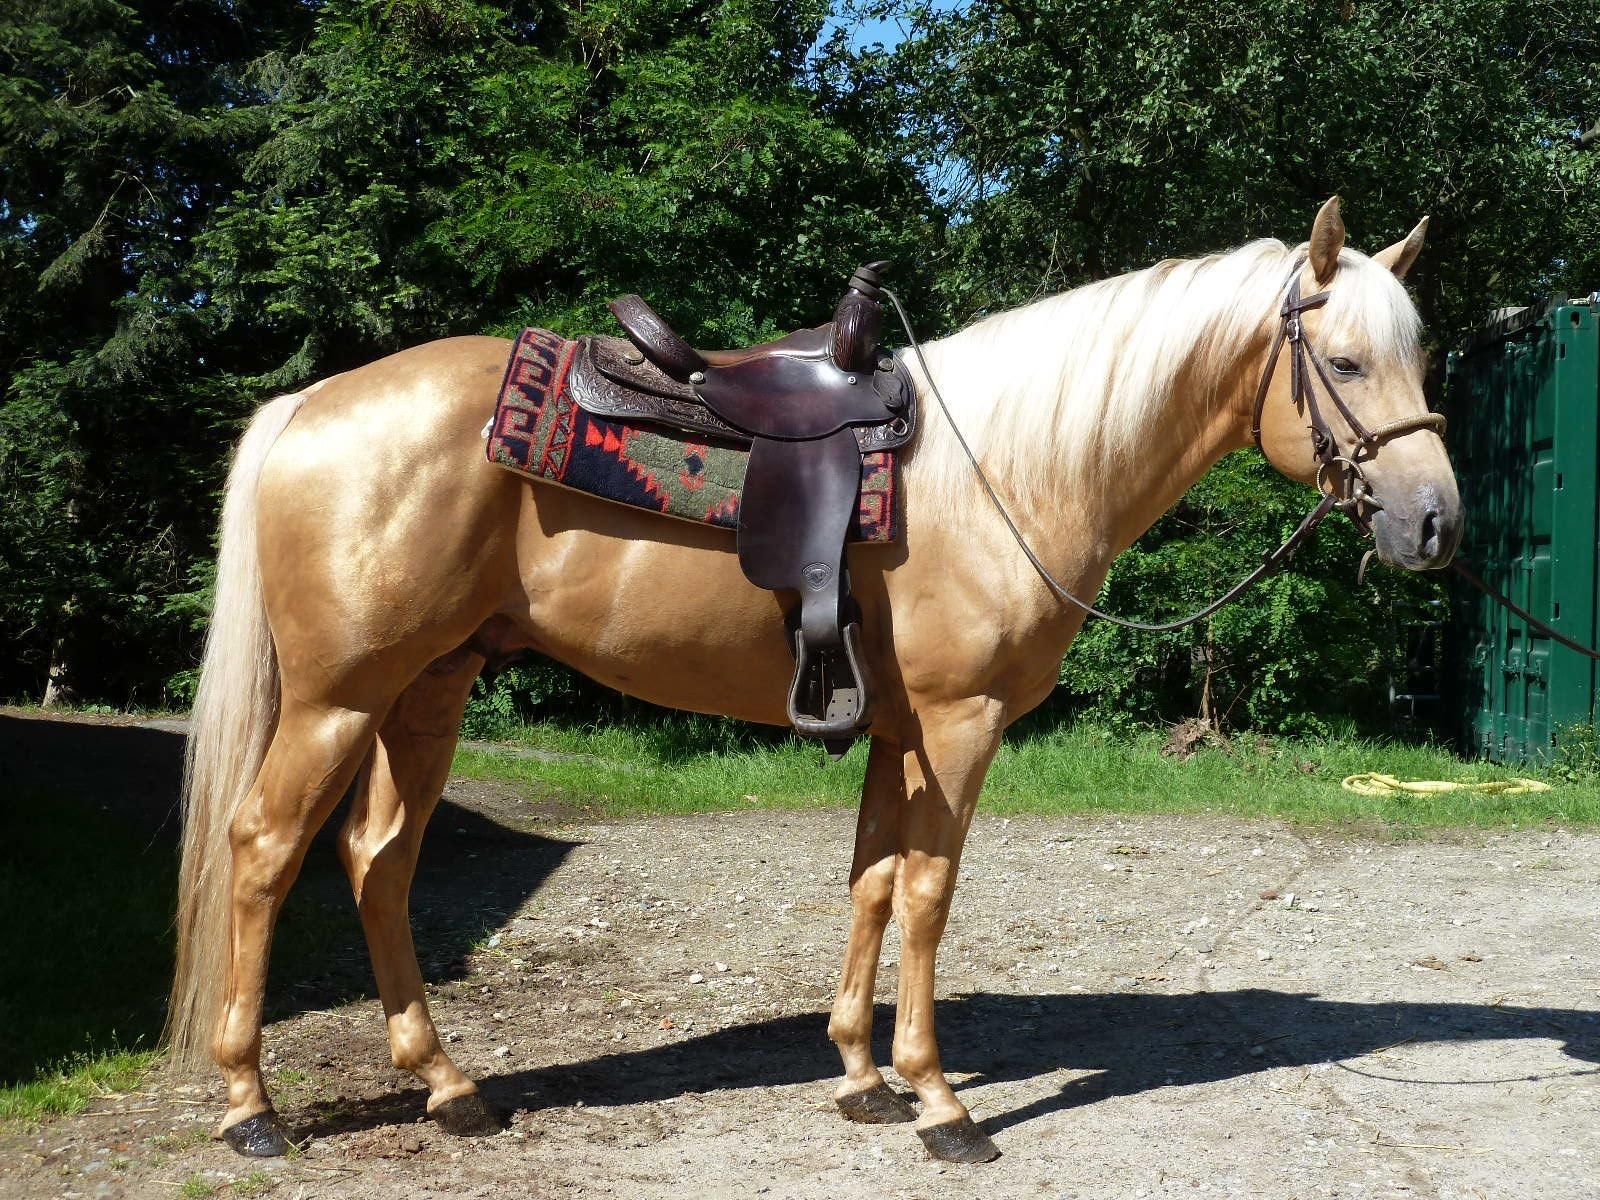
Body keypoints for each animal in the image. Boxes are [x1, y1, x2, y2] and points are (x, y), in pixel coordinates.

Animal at [166, 198, 1460, 1163]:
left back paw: (447, 1085)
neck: (1008, 467)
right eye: (1344, 361)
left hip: (426, 694)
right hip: (338, 700)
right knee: (266, 851)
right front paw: (940, 1104)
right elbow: (929, 895)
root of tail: (307, 407)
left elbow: (873, 883)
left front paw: (860, 1079)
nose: (1435, 523)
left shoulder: (897, 730)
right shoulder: (959, 725)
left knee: (377, 863)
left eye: (1419, 356)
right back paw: (250, 1109)